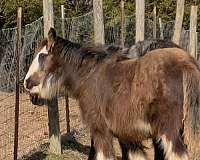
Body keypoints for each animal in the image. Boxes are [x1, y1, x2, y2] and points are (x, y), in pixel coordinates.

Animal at [23, 28, 200, 159]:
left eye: (42, 56)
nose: (26, 83)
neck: (87, 76)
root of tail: (186, 64)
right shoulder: (128, 136)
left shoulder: (100, 130)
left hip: (168, 130)